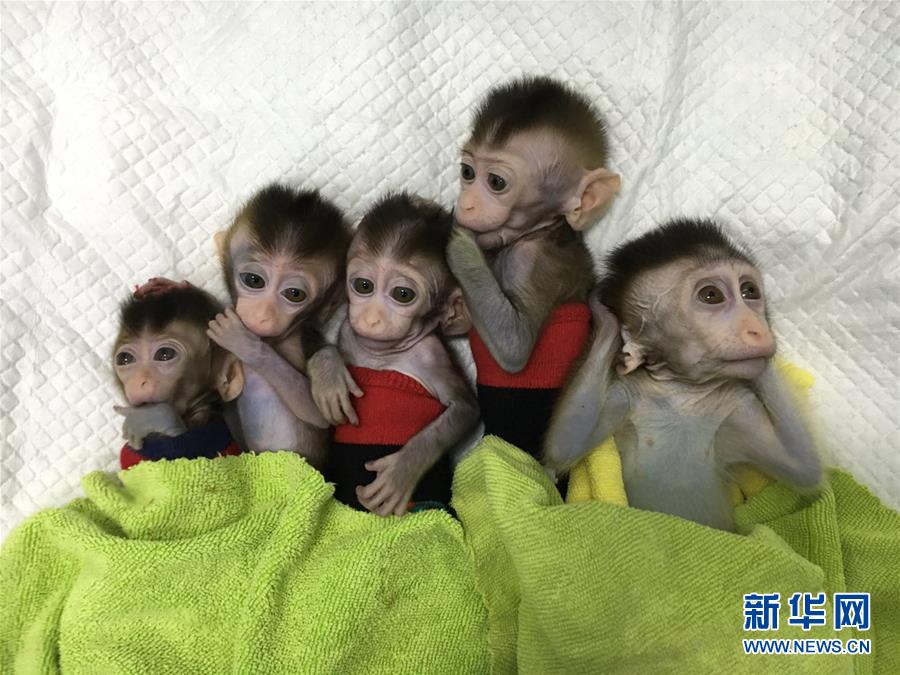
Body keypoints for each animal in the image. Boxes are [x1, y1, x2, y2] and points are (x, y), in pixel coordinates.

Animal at [319, 192, 479, 516]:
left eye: (402, 294)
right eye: (363, 286)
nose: (372, 319)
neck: (384, 356)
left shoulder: (432, 355)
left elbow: (465, 407)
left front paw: (403, 469)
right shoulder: (347, 331)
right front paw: (328, 375)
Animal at [447, 75, 621, 461]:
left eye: (496, 182)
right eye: (467, 172)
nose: (466, 205)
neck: (539, 229)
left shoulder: (531, 261)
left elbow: (514, 345)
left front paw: (458, 242)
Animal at [543, 218, 823, 531]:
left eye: (750, 291)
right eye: (711, 295)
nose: (758, 328)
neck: (683, 393)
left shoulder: (739, 405)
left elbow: (802, 466)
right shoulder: (624, 393)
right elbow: (566, 443)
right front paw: (603, 314)